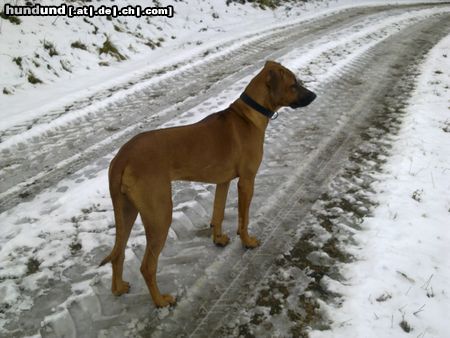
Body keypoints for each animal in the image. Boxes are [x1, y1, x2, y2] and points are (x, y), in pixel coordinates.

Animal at [99, 60, 316, 306]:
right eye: (294, 84)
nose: (314, 95)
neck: (248, 115)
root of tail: (121, 157)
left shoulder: (223, 182)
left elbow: (218, 213)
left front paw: (218, 238)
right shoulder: (247, 181)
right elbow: (243, 218)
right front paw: (247, 241)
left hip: (126, 208)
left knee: (118, 252)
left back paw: (118, 288)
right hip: (159, 213)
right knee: (147, 266)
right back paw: (160, 301)